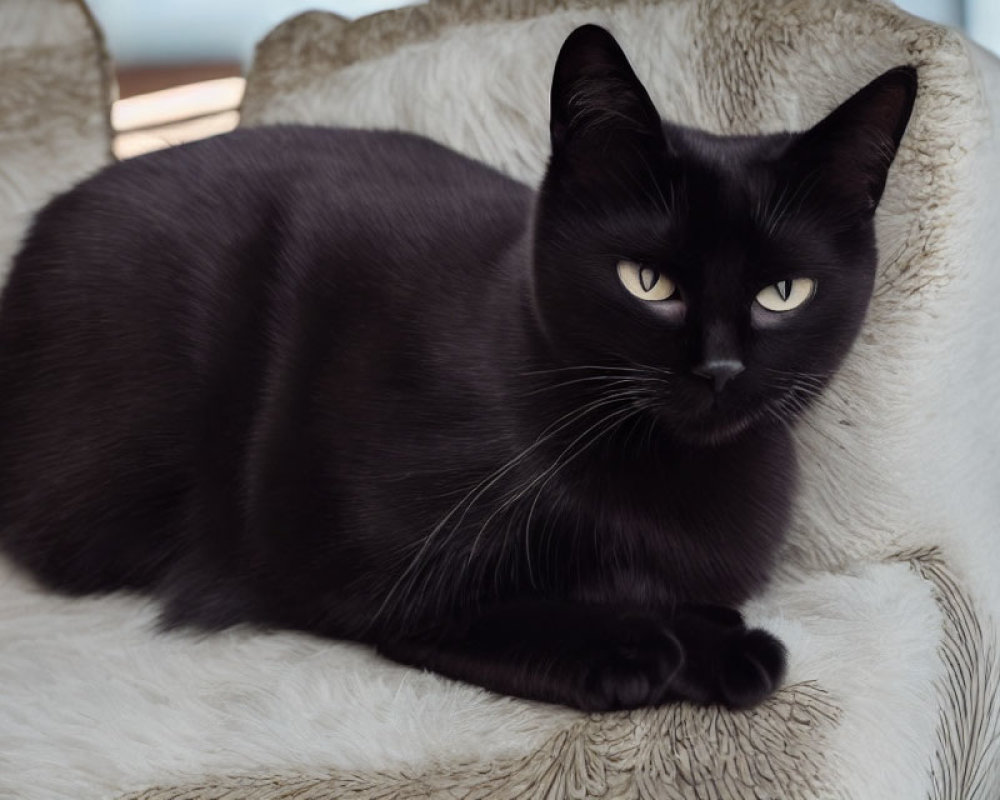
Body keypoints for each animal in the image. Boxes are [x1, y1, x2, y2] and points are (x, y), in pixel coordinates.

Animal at [0, 26, 916, 712]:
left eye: (782, 293)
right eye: (647, 282)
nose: (719, 368)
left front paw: (711, 637)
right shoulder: (371, 572)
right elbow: (491, 610)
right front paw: (650, 644)